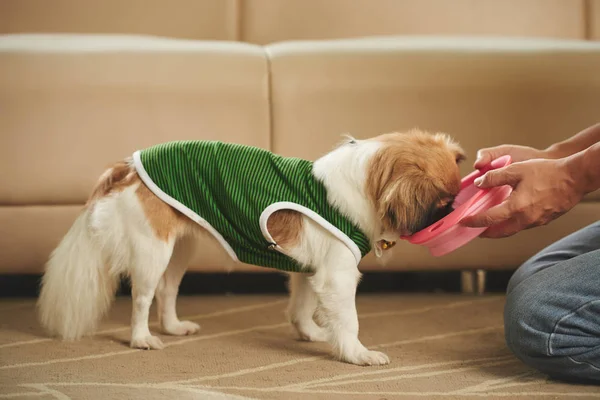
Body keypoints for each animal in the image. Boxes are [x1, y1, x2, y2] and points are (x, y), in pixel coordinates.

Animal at [38, 130, 464, 368]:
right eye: (443, 202)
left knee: (166, 291)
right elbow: (348, 320)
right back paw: (142, 339)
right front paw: (356, 354)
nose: (456, 210)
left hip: (180, 250)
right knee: (142, 298)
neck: (360, 187)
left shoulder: (309, 272)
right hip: (152, 252)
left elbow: (301, 307)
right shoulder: (337, 276)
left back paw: (173, 327)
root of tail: (128, 165)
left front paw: (310, 333)